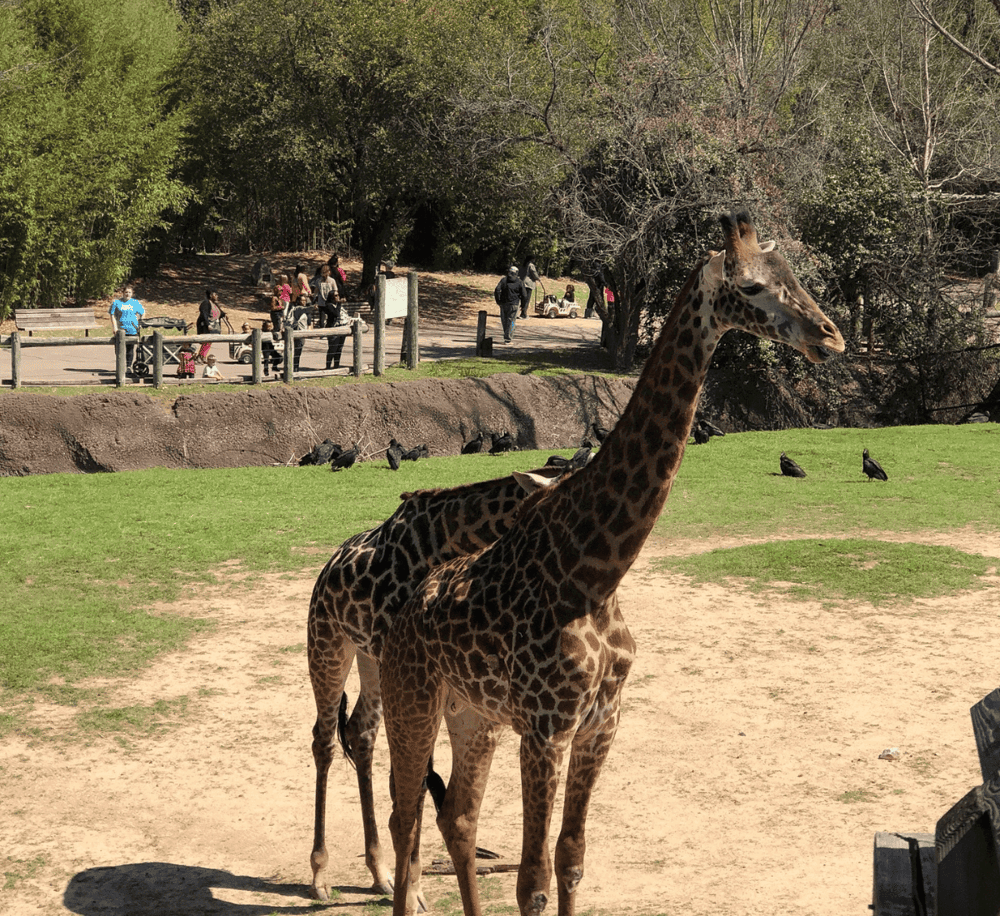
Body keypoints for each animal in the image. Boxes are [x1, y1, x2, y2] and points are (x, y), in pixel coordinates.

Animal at [307, 455, 591, 903]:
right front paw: (415, 888)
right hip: (327, 643)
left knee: (359, 733)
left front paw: (410, 883)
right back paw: (320, 875)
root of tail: (326, 568)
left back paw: (380, 872)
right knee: (324, 739)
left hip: (372, 660)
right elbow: (416, 779)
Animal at [378, 210, 846, 916]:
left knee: (456, 818)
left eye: (793, 275)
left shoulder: (602, 722)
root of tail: (403, 610)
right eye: (755, 286)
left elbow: (571, 858)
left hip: (473, 715)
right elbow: (533, 880)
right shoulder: (546, 727)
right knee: (404, 816)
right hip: (412, 702)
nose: (832, 336)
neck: (594, 571)